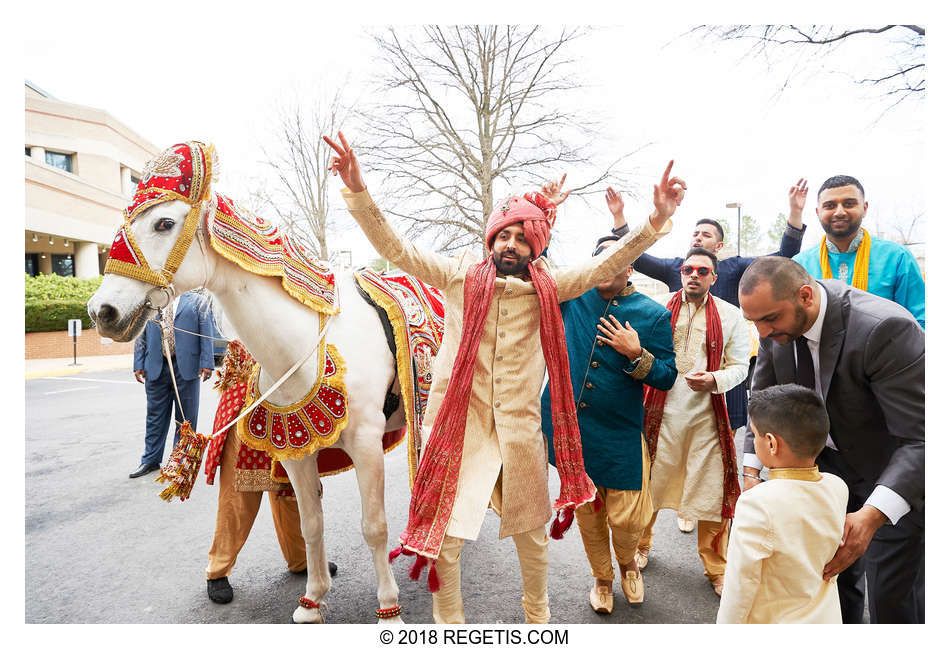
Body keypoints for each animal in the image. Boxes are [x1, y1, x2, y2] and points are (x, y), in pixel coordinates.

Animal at [91, 197, 410, 624]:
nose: (101, 311)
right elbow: (311, 524)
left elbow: (374, 526)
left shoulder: (367, 444)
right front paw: (312, 601)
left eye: (164, 223)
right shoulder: (296, 456)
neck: (305, 342)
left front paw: (389, 610)